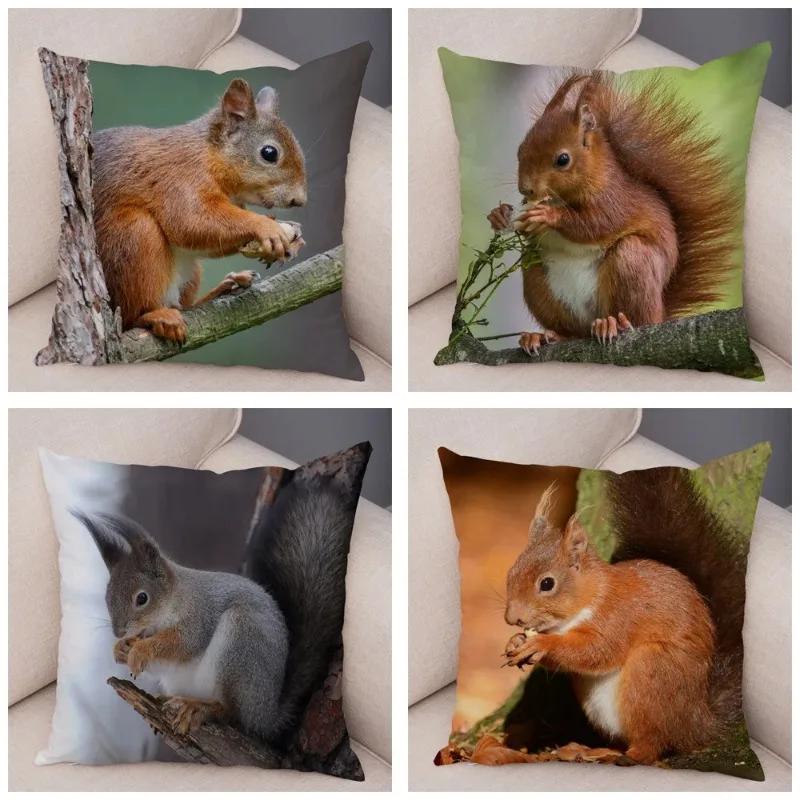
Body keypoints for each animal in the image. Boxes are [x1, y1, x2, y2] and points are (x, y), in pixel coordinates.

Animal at [91, 78, 307, 343]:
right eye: (269, 153)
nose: (300, 200)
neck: (210, 154)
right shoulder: (180, 179)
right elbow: (190, 222)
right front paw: (266, 226)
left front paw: (293, 236)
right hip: (133, 236)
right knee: (133, 317)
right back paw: (156, 316)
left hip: (190, 272)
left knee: (186, 305)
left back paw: (224, 288)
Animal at [487, 71, 740, 355]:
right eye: (520, 150)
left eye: (563, 160)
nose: (526, 189)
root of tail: (660, 314)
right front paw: (500, 215)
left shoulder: (615, 201)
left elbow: (595, 224)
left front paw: (548, 217)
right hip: (538, 282)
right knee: (571, 329)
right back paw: (544, 336)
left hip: (632, 262)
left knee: (635, 316)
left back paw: (614, 324)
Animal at [502, 469, 747, 765]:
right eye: (511, 573)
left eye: (547, 584)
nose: (512, 618)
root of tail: (696, 722)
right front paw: (515, 641)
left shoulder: (618, 617)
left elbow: (597, 650)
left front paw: (541, 644)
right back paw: (594, 750)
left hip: (651, 673)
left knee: (652, 744)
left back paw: (630, 756)